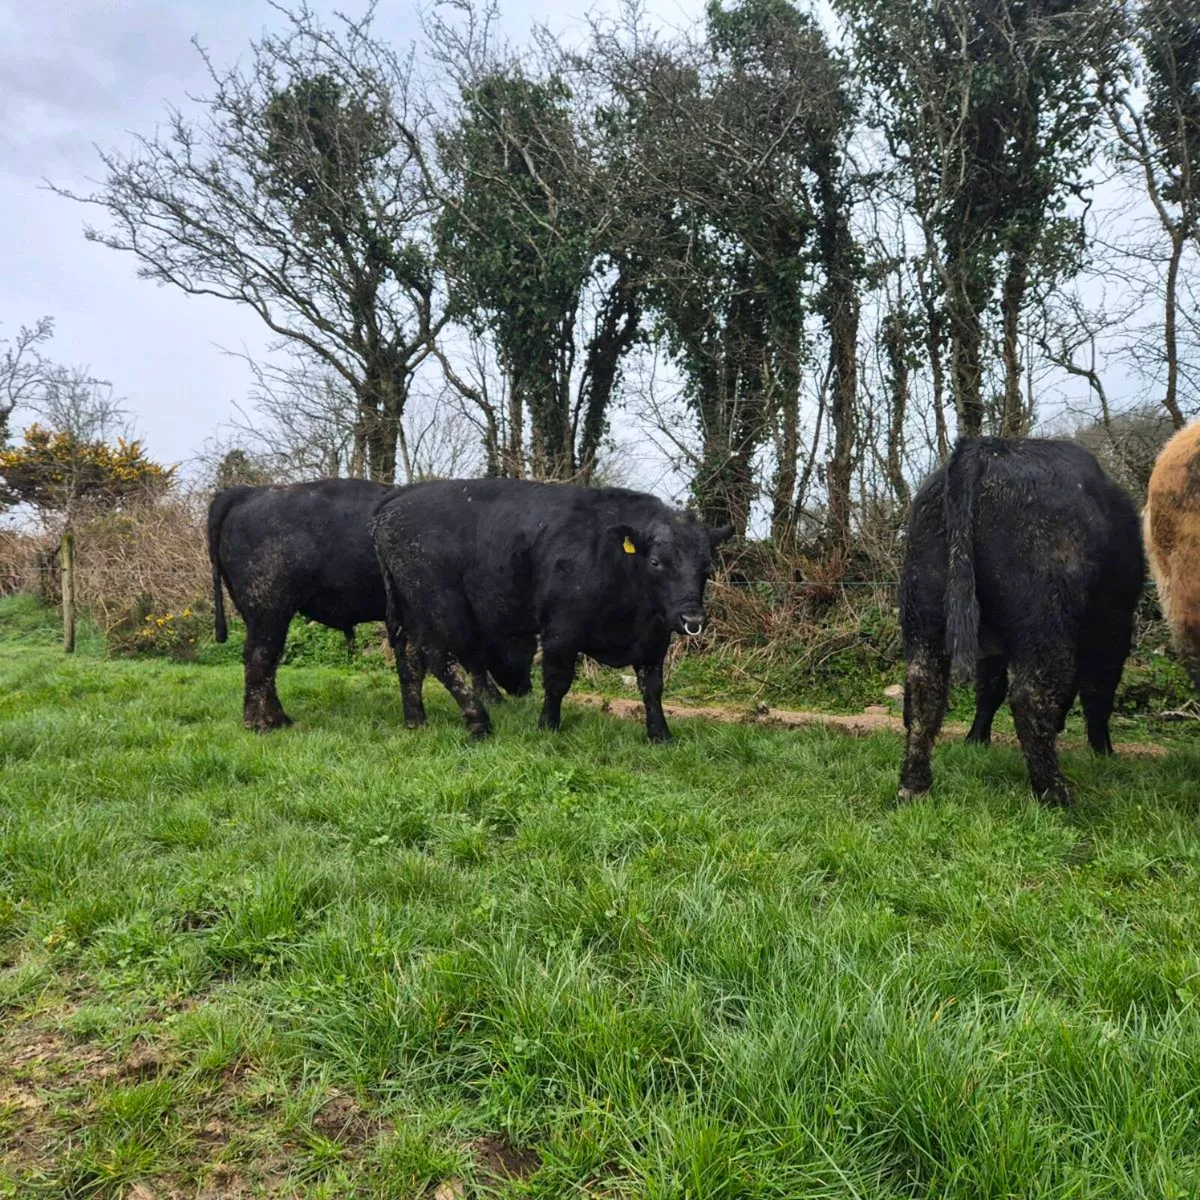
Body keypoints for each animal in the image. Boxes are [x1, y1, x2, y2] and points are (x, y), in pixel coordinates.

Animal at [207, 479, 530, 731]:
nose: (522, 690)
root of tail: (246, 492)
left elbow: (413, 665)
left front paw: (417, 720)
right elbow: (462, 661)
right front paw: (491, 702)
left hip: (264, 615)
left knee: (267, 661)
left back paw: (278, 719)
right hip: (269, 610)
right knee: (259, 657)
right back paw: (263, 724)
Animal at [370, 479, 734, 741]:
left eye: (707, 565)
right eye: (656, 562)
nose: (692, 619)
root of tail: (399, 499)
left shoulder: (655, 640)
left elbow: (653, 687)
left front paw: (660, 734)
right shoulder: (561, 631)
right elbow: (557, 681)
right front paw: (548, 725)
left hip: (410, 609)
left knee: (411, 660)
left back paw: (416, 719)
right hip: (440, 607)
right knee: (439, 659)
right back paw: (479, 721)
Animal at [898, 437, 1143, 806]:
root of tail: (986, 446)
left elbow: (989, 688)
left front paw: (976, 741)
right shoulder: (1112, 624)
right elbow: (1098, 690)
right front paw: (1104, 752)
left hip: (924, 608)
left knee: (923, 687)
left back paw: (914, 787)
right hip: (1046, 617)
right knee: (1031, 695)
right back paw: (1055, 793)